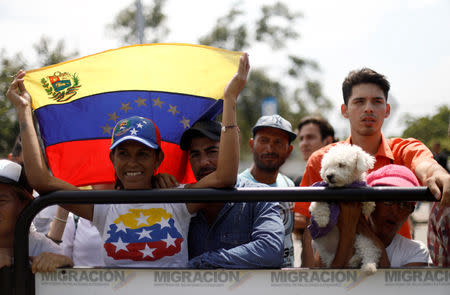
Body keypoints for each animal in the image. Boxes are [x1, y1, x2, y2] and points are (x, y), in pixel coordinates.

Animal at [310, 143, 380, 276]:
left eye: (341, 164)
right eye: (327, 167)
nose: (328, 175)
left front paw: (368, 206)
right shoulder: (318, 199)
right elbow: (319, 206)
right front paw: (322, 220)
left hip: (360, 238)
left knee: (369, 251)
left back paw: (366, 265)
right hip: (328, 255)